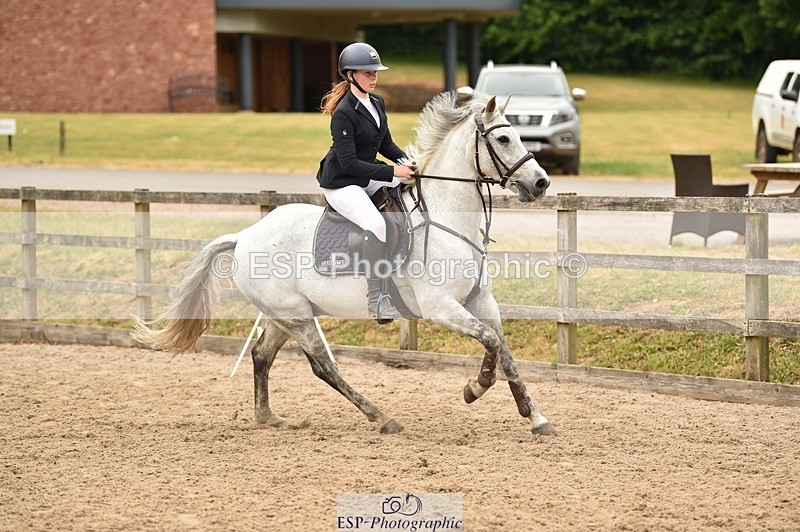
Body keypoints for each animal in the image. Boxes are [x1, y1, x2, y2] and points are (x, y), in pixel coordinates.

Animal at [132, 89, 555, 436]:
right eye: (503, 138)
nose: (541, 183)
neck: (448, 219)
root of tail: (244, 236)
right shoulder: (442, 308)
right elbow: (490, 344)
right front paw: (474, 388)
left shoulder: (481, 302)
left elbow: (504, 351)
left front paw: (535, 418)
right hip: (297, 316)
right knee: (323, 366)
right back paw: (382, 417)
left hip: (285, 314)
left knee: (262, 355)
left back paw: (269, 418)